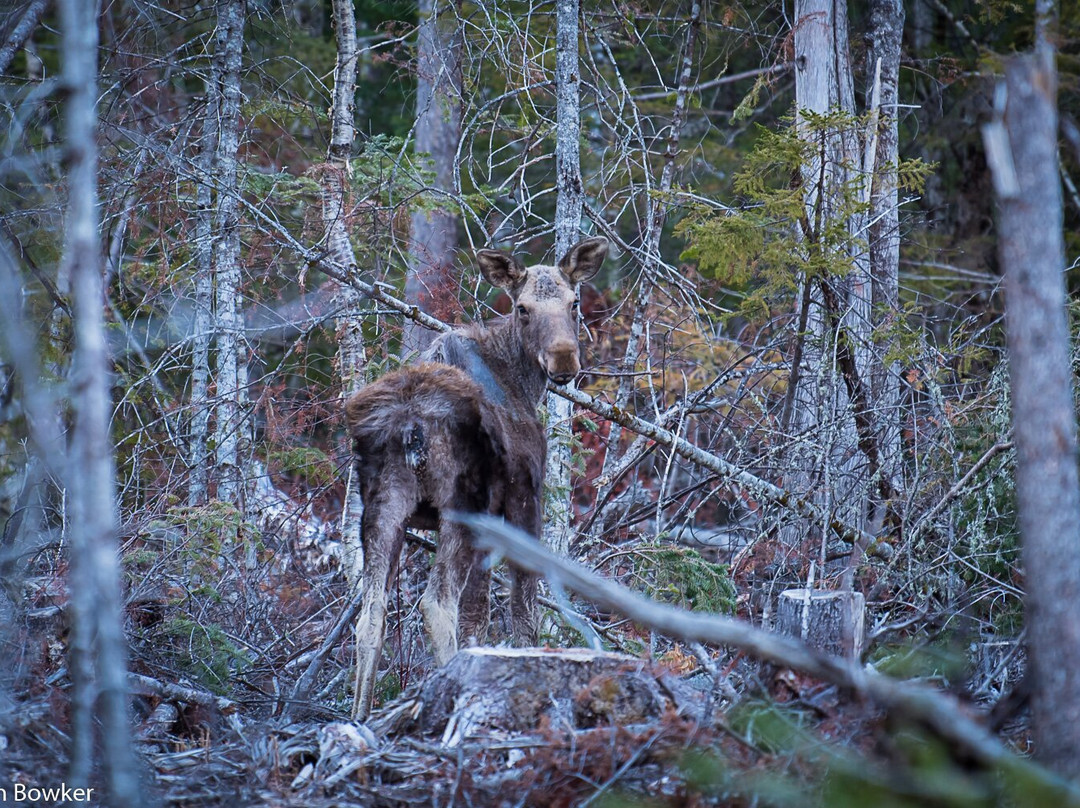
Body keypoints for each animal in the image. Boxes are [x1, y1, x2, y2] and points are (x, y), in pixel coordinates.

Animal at [344, 236, 609, 720]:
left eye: (574, 301)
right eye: (522, 308)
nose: (564, 359)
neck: (521, 382)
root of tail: (411, 425)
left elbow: (477, 615)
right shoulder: (524, 498)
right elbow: (521, 610)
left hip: (381, 507)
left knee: (371, 614)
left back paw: (359, 719)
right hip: (461, 505)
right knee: (435, 604)